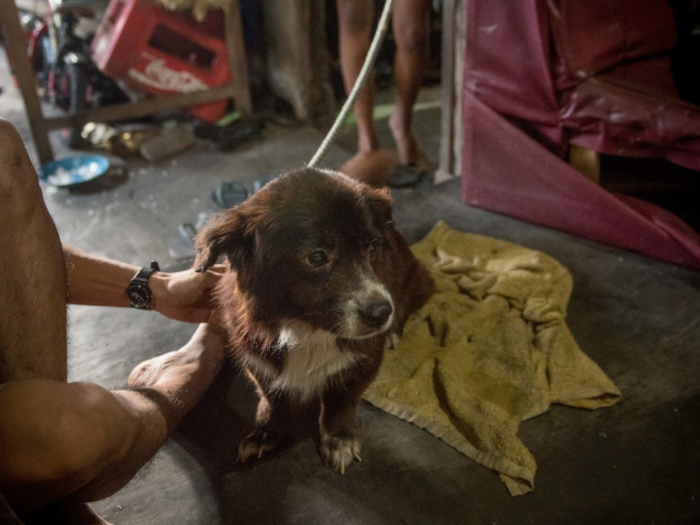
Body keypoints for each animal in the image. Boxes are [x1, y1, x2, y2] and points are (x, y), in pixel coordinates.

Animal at [193, 170, 432, 472]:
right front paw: (264, 431)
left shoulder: (364, 360)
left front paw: (339, 438)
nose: (381, 314)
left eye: (373, 247)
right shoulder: (257, 359)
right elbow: (272, 399)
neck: (306, 328)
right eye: (317, 257)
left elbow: (340, 400)